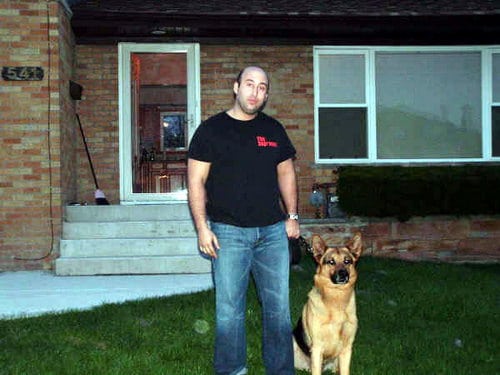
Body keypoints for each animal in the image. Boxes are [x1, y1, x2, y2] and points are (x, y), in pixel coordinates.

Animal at [292, 234, 364, 374]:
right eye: (331, 262)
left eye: (347, 261)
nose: (343, 274)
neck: (336, 299)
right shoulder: (317, 348)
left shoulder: (347, 348)